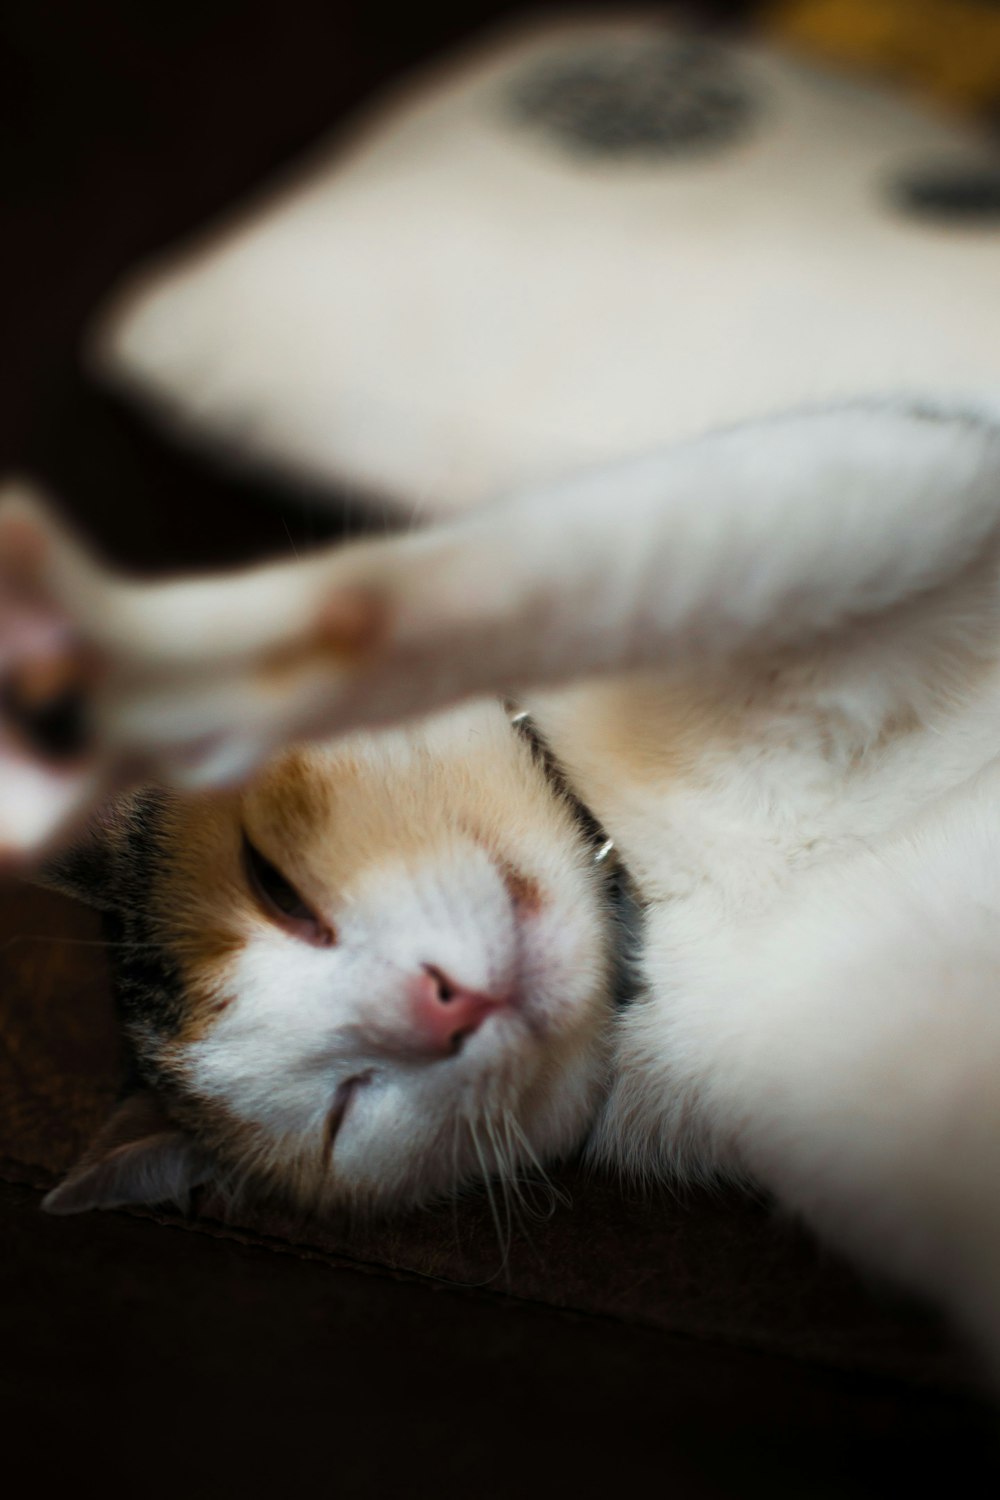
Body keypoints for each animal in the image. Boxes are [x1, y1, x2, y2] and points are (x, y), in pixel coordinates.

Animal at [5, 399, 1000, 1374]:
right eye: (340, 1110)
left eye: (272, 883)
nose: (444, 1004)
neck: (651, 900)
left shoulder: (902, 477)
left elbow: (529, 581)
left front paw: (147, 663)